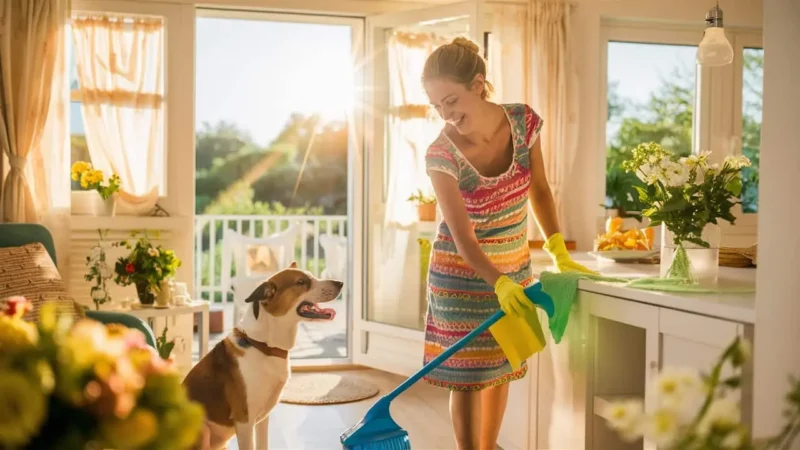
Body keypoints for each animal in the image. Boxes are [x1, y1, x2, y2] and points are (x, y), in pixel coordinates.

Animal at [183, 262, 342, 448]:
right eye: (301, 282)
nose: (340, 283)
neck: (264, 346)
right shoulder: (244, 421)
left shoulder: (262, 419)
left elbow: (263, 444)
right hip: (202, 429)